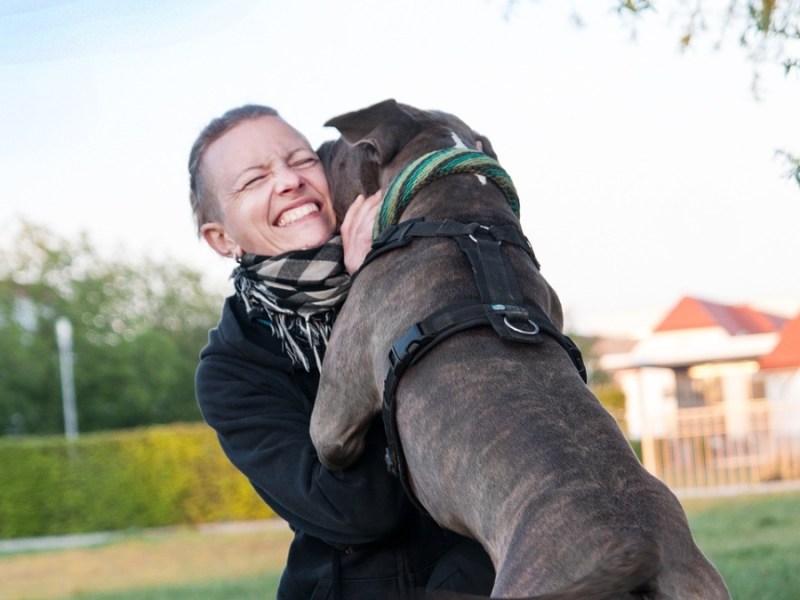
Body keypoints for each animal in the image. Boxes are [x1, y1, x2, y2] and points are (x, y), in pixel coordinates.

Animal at [308, 101, 732, 596]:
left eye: (339, 151)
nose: (318, 150)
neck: (466, 215)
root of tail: (641, 548)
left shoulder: (334, 416)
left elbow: (330, 438)